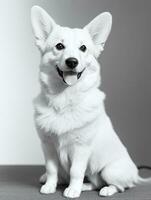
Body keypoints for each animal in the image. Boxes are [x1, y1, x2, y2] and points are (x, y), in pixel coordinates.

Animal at [30, 5, 151, 198]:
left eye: (83, 48)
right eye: (59, 46)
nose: (72, 61)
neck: (64, 98)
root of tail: (136, 174)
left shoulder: (81, 148)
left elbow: (76, 171)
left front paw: (73, 189)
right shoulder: (48, 146)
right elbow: (51, 169)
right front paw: (50, 185)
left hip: (110, 171)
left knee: (120, 186)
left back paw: (105, 189)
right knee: (94, 181)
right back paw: (83, 185)